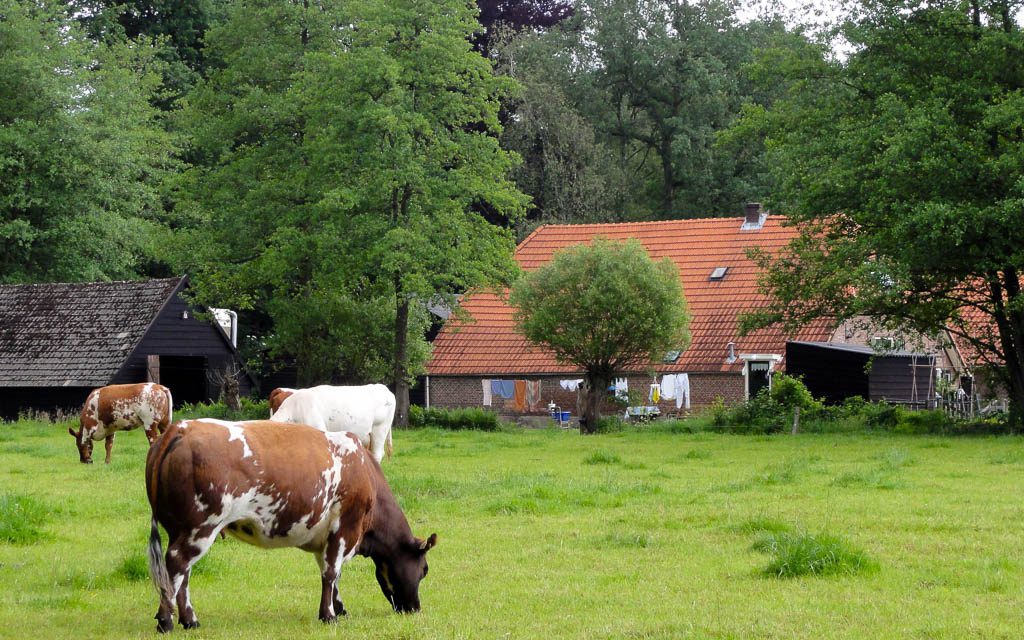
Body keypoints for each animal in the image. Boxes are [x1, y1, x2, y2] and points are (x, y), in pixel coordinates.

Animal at [145, 417, 436, 630]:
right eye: (424, 570)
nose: (415, 608)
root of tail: (181, 428)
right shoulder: (345, 528)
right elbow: (331, 573)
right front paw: (328, 615)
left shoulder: (326, 536)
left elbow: (333, 574)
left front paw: (339, 608)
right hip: (200, 527)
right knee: (176, 565)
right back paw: (167, 620)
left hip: (182, 530)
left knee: (182, 574)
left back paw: (188, 620)